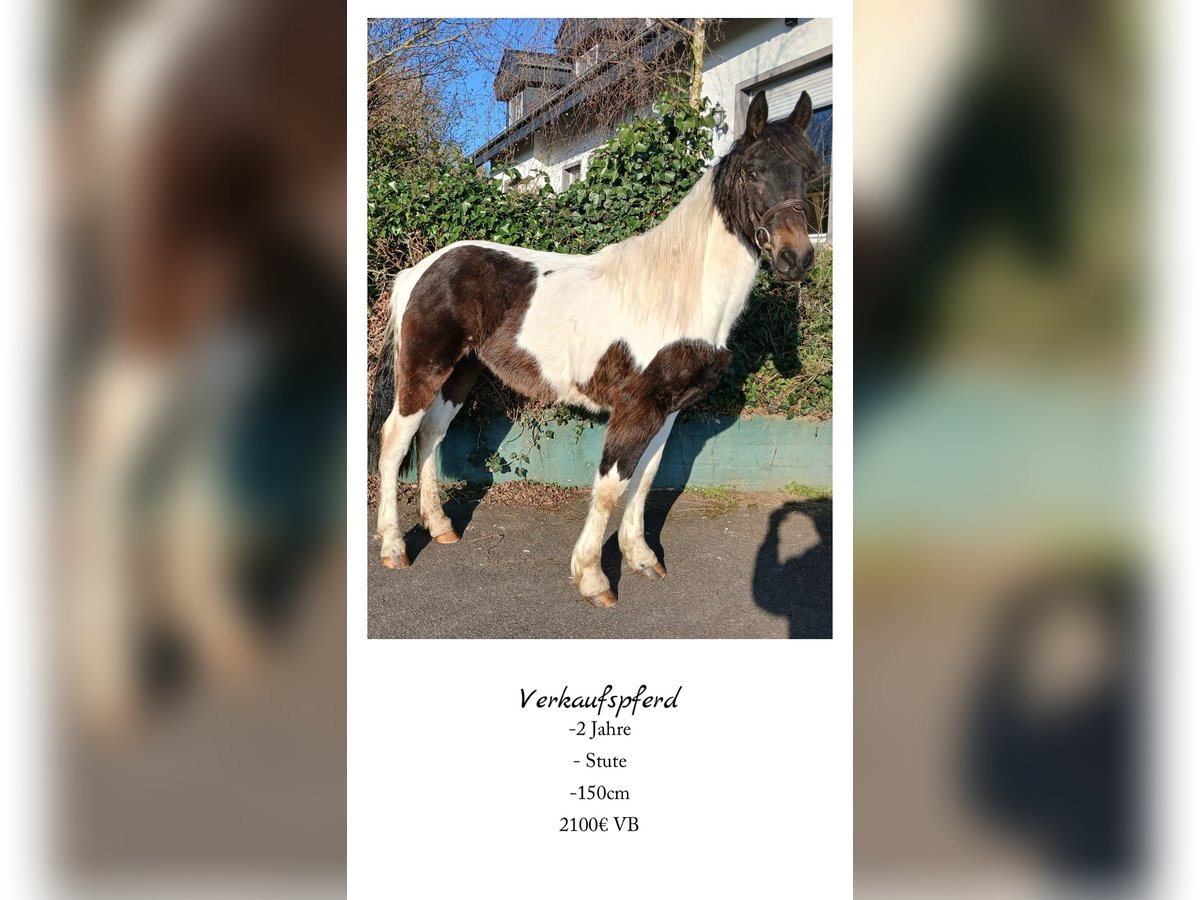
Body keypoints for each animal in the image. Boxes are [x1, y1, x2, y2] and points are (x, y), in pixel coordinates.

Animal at [369, 90, 822, 608]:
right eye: (753, 172)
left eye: (809, 172)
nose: (795, 258)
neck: (678, 292)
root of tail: (420, 269)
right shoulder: (635, 408)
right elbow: (610, 487)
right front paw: (593, 577)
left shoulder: (668, 410)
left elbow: (645, 479)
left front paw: (641, 557)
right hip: (424, 370)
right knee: (394, 440)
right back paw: (394, 547)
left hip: (460, 375)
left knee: (430, 437)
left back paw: (440, 526)